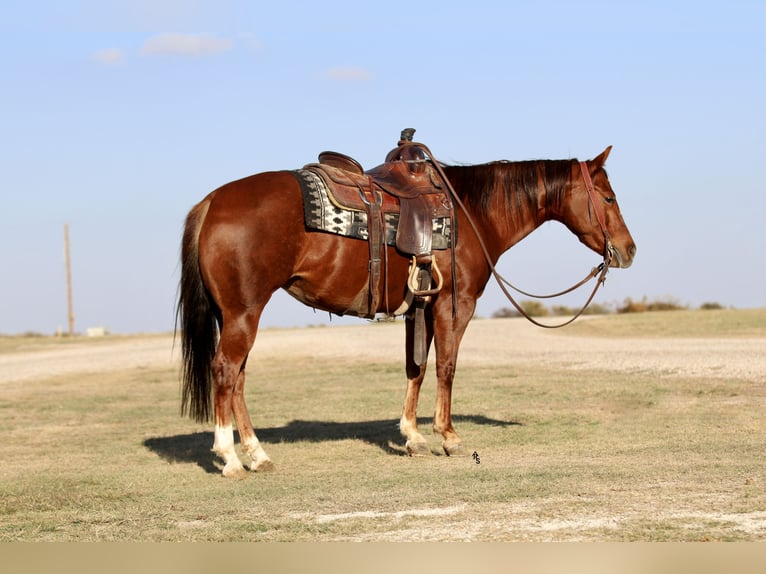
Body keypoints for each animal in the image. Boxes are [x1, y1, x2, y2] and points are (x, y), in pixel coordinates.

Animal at [177, 143, 636, 477]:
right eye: (609, 197)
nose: (628, 250)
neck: (471, 212)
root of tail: (211, 202)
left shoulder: (422, 307)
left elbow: (416, 367)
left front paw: (413, 437)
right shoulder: (455, 304)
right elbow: (446, 367)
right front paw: (448, 437)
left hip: (233, 315)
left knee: (237, 378)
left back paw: (257, 455)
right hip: (243, 313)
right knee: (225, 371)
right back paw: (230, 459)